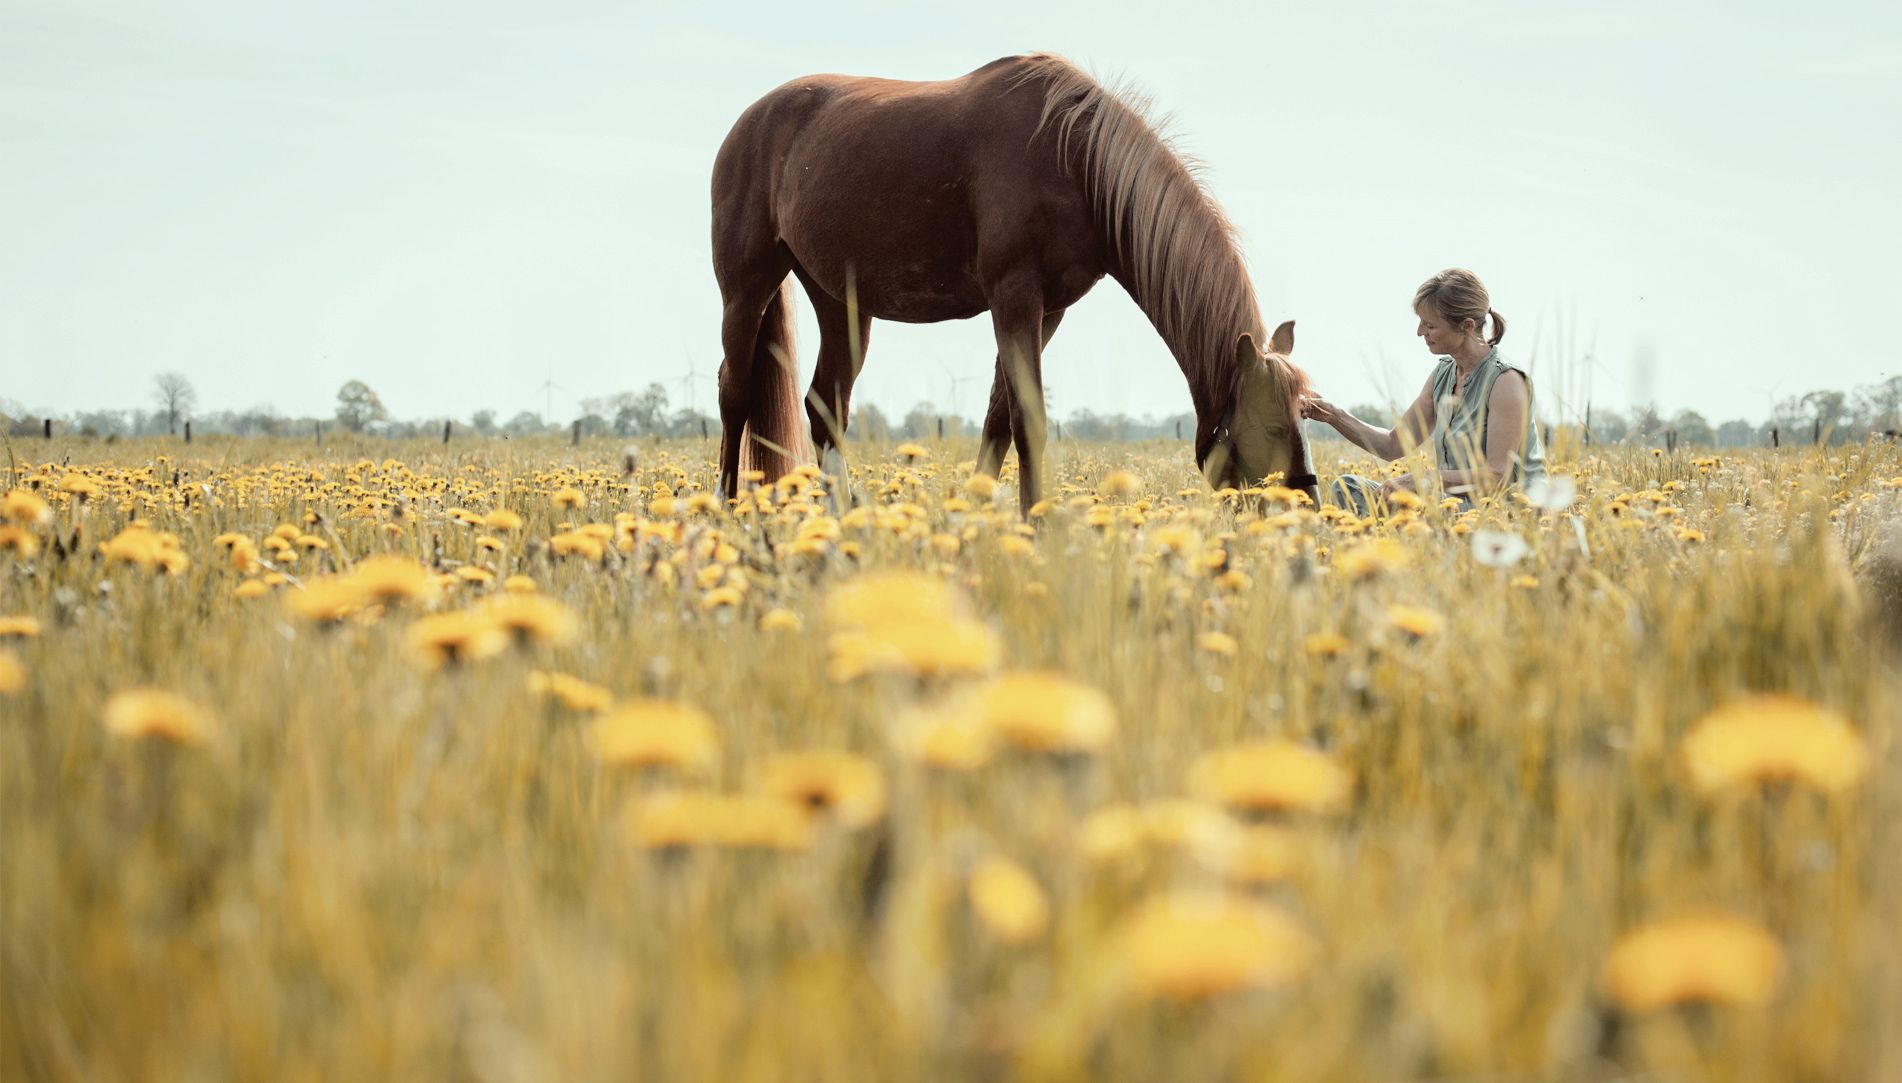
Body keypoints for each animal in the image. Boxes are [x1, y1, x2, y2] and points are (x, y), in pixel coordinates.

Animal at [707, 50, 1316, 506]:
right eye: (1273, 427)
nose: (1305, 499)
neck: (1073, 159)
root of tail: (750, 121)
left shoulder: (1048, 309)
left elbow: (999, 419)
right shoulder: (1014, 297)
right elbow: (1029, 422)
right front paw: (1035, 523)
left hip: (839, 303)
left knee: (825, 407)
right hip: (746, 288)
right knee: (734, 391)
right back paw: (727, 506)